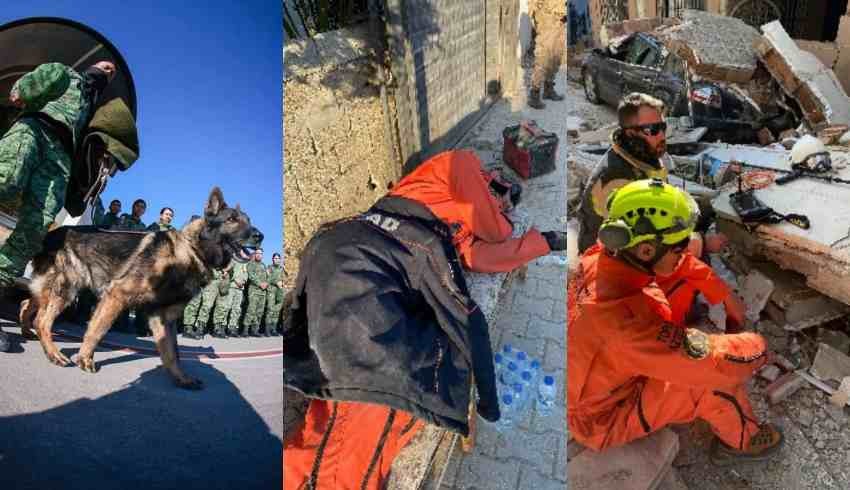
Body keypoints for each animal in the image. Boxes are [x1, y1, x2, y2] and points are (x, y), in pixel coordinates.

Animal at [19, 188, 262, 390]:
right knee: (43, 320)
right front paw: (86, 359)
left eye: (249, 221)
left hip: (53, 288)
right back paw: (53, 353)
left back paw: (27, 331)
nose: (260, 236)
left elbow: (172, 353)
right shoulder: (116, 296)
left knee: (27, 304)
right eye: (232, 219)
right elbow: (97, 330)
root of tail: (52, 233)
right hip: (67, 288)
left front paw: (181, 378)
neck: (192, 250)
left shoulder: (164, 318)